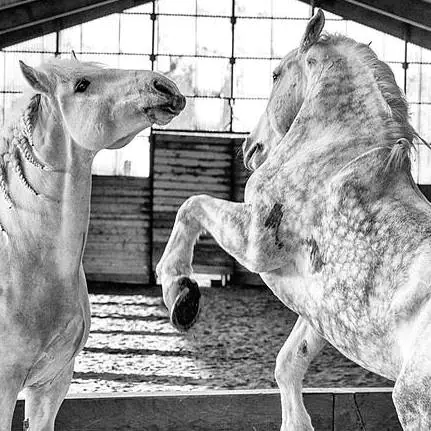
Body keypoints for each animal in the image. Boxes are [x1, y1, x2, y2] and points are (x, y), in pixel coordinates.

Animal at [158, 10, 431, 431]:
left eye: (274, 75)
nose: (250, 147)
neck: (330, 155)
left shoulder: (255, 244)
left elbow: (191, 206)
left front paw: (181, 294)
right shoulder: (318, 309)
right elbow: (288, 363)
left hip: (414, 400)